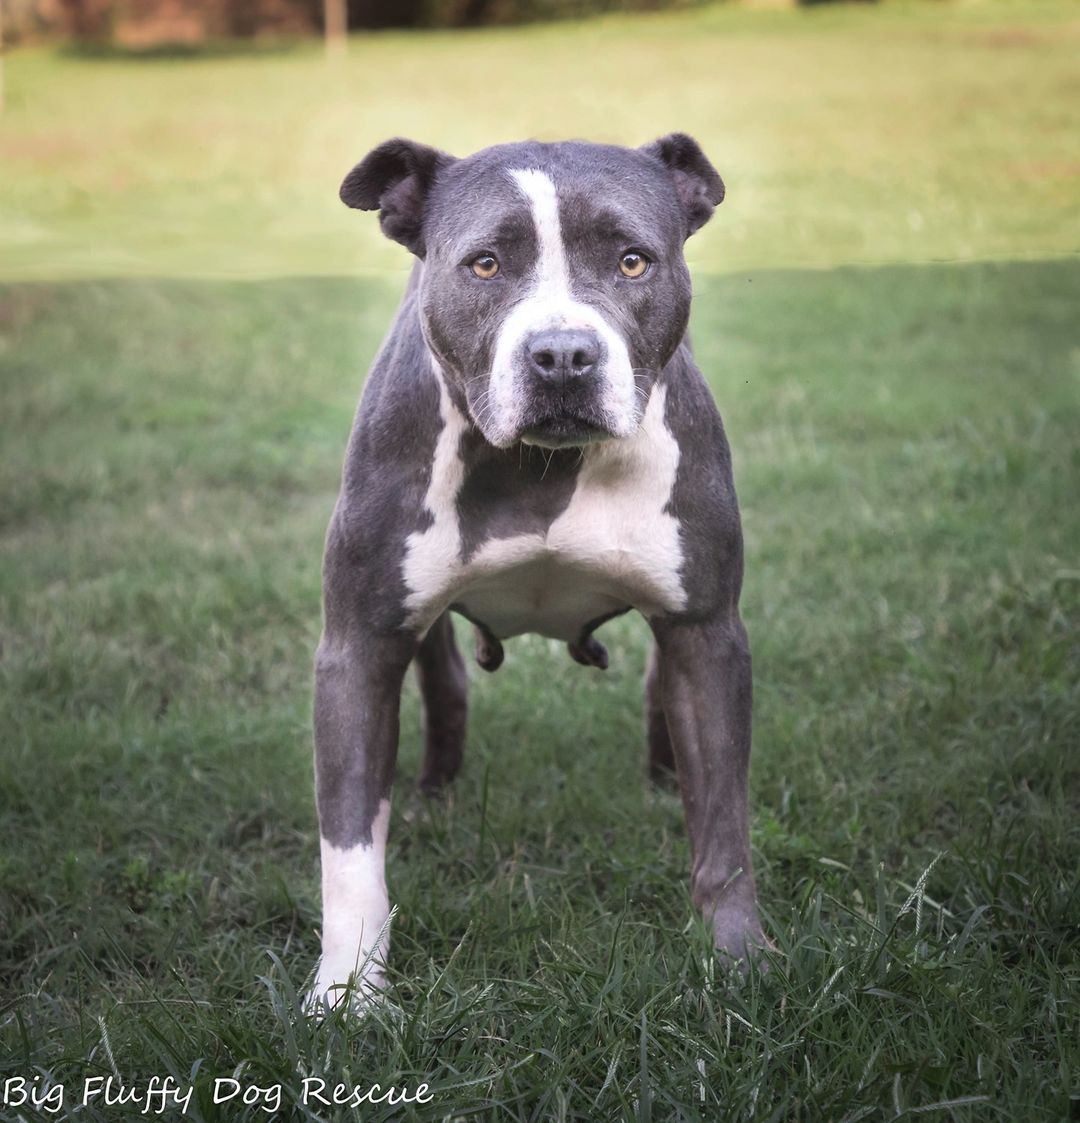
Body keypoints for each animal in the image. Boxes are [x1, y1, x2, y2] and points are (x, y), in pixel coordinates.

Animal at [307, 133, 763, 1010]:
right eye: (484, 264)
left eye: (632, 261)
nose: (562, 355)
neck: (540, 468)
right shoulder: (356, 644)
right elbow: (349, 855)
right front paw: (346, 994)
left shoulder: (706, 629)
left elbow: (723, 830)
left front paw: (741, 963)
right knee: (444, 682)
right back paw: (434, 792)